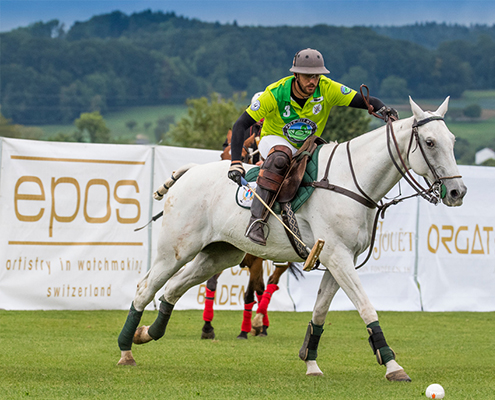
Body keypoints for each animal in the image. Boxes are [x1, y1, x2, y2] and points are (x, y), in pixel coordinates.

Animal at [117, 97, 466, 382]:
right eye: (430, 142)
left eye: (452, 140)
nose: (457, 192)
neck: (351, 182)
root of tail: (190, 171)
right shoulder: (338, 256)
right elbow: (366, 307)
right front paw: (393, 365)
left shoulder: (340, 259)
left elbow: (319, 312)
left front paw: (310, 363)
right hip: (176, 249)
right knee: (146, 287)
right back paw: (125, 350)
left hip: (218, 254)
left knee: (174, 289)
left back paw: (147, 334)